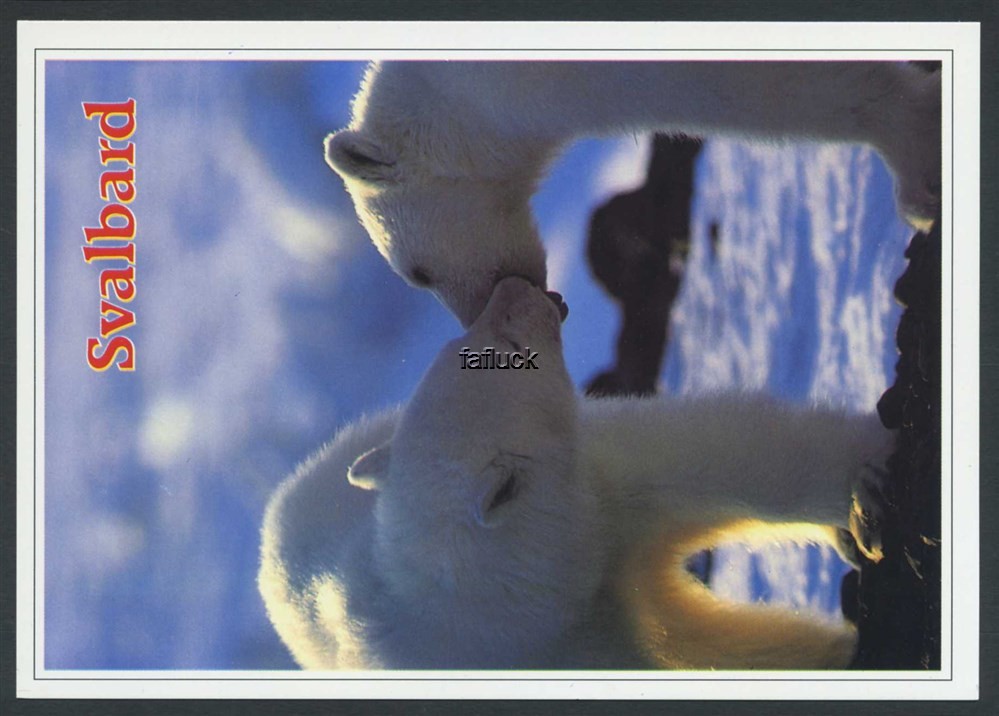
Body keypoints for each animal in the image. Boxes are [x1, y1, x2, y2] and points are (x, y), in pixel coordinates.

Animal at [258, 276, 889, 670]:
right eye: (507, 347)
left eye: (466, 341)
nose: (512, 287)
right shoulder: (548, 643)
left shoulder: (604, 486)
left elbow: (726, 457)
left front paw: (866, 494)